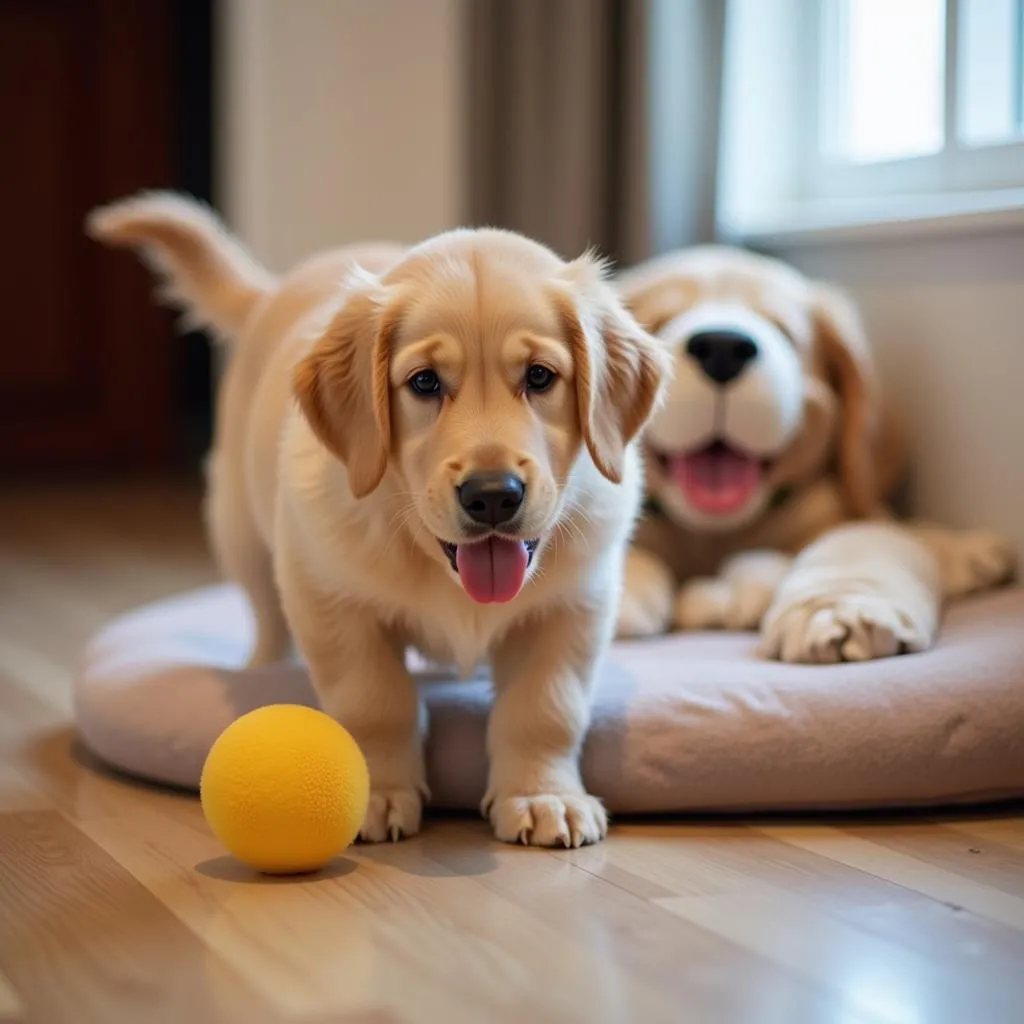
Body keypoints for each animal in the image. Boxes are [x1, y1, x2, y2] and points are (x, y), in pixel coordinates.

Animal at [86, 192, 663, 847]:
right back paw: (264, 669)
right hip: (241, 533)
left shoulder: (572, 607)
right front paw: (378, 792)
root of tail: (273, 290)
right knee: (266, 620)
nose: (493, 496)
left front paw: (543, 796)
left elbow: (545, 708)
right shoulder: (330, 599)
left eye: (540, 376)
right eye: (424, 383)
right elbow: (374, 701)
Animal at [610, 243, 1011, 659]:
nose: (722, 347)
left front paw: (840, 610)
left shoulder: (854, 517)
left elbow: (858, 542)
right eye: (655, 324)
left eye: (784, 332)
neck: (716, 533)